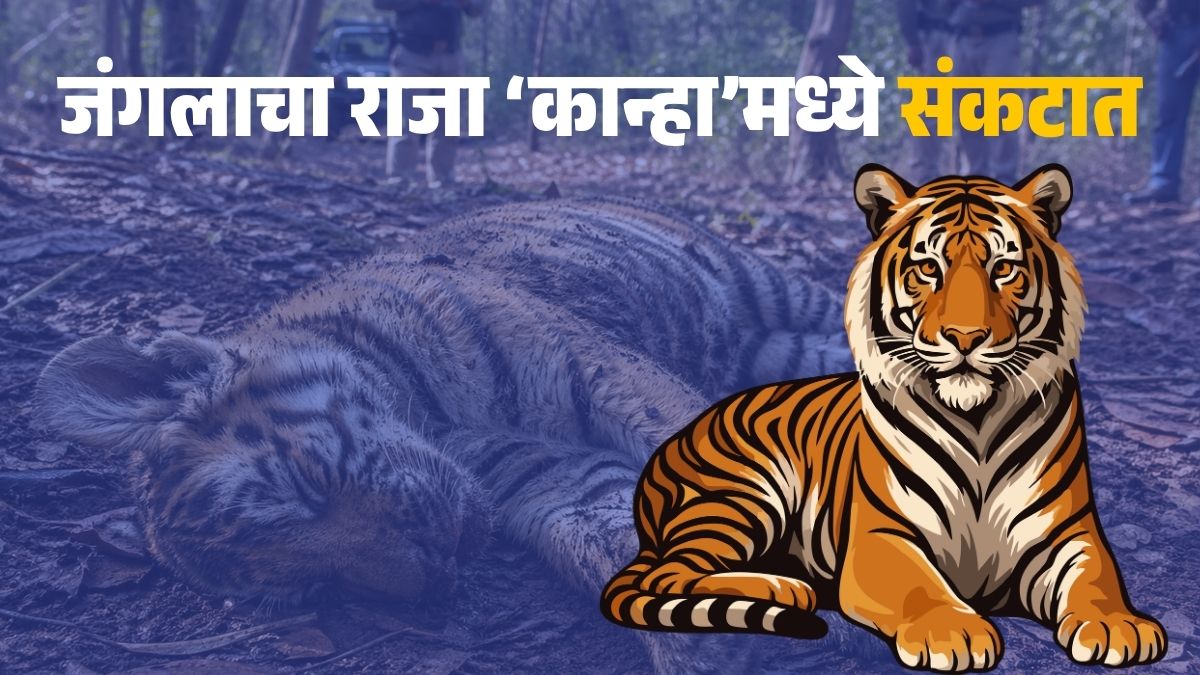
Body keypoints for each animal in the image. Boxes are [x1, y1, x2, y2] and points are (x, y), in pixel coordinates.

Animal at [35, 198, 848, 669]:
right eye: (316, 587)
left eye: (303, 486)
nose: (427, 576)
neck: (436, 423)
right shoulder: (550, 482)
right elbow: (605, 528)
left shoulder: (594, 367)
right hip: (772, 344)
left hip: (768, 287)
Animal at [600, 165, 1168, 672]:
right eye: (929, 269)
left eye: (1003, 268)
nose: (965, 337)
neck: (978, 423)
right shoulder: (883, 535)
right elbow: (921, 588)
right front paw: (953, 631)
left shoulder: (1068, 534)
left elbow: (1097, 580)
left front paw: (1120, 626)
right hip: (742, 492)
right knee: (670, 575)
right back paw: (784, 588)